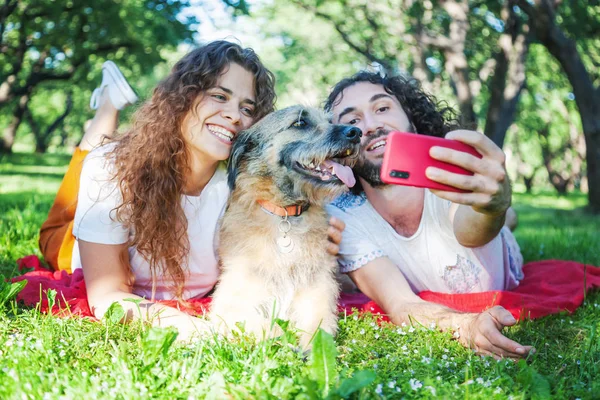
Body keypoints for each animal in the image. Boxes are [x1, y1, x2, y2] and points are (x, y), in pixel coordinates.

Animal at [210, 105, 360, 346]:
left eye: (330, 121)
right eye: (300, 123)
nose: (356, 133)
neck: (285, 214)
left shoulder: (318, 285)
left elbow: (319, 323)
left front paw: (310, 344)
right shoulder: (233, 299)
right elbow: (262, 327)